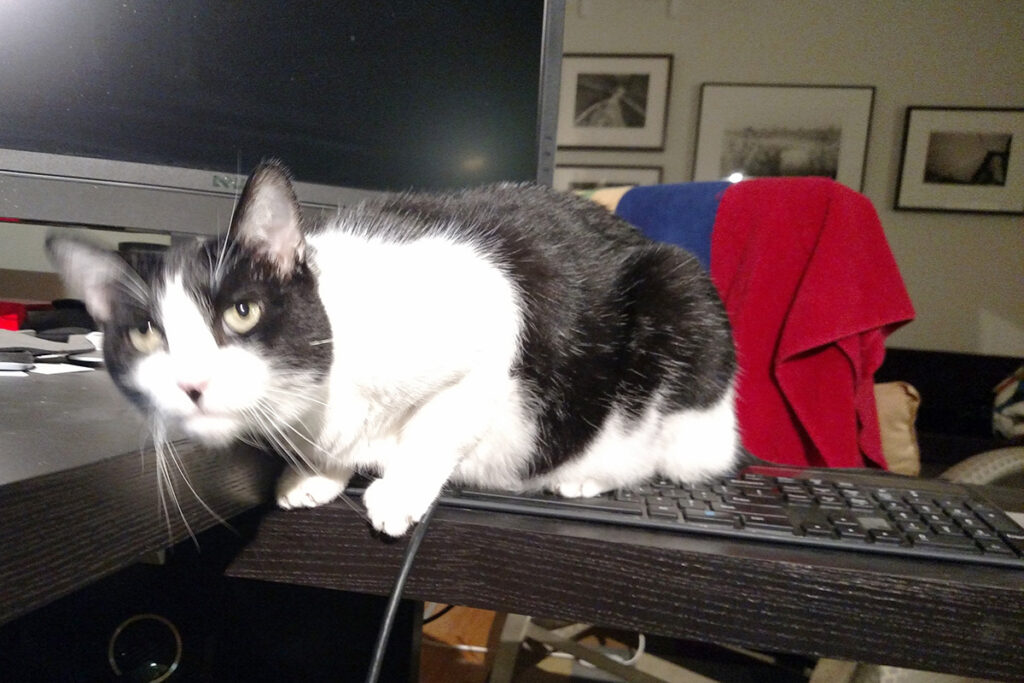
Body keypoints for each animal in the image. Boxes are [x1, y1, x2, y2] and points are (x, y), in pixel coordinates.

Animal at [48, 162, 741, 536]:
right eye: (146, 333)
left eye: (242, 312)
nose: (191, 383)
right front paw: (317, 476)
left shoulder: (489, 323)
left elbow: (436, 428)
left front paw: (399, 490)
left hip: (679, 303)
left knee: (667, 453)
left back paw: (587, 476)